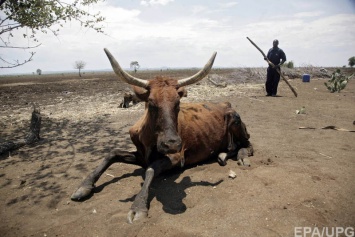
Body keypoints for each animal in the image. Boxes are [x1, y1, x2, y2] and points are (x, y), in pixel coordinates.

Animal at [71, 49, 253, 223]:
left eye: (178, 103)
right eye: (151, 103)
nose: (171, 143)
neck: (147, 138)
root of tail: (225, 103)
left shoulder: (177, 157)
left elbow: (151, 169)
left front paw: (138, 207)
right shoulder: (141, 156)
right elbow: (112, 154)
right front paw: (84, 186)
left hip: (236, 119)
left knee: (247, 144)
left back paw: (242, 157)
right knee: (233, 146)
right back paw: (222, 155)